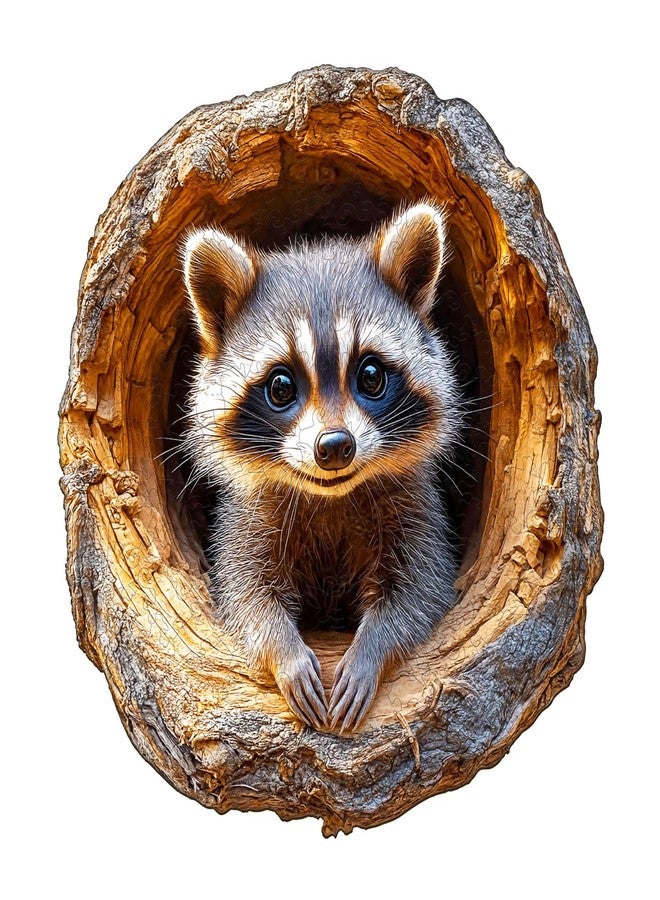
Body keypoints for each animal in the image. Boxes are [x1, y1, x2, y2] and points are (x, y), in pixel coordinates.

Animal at [180, 202, 462, 733]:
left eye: (370, 376)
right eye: (281, 386)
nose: (334, 447)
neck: (330, 495)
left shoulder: (416, 510)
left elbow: (419, 588)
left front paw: (373, 647)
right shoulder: (246, 518)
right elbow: (246, 594)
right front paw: (284, 651)